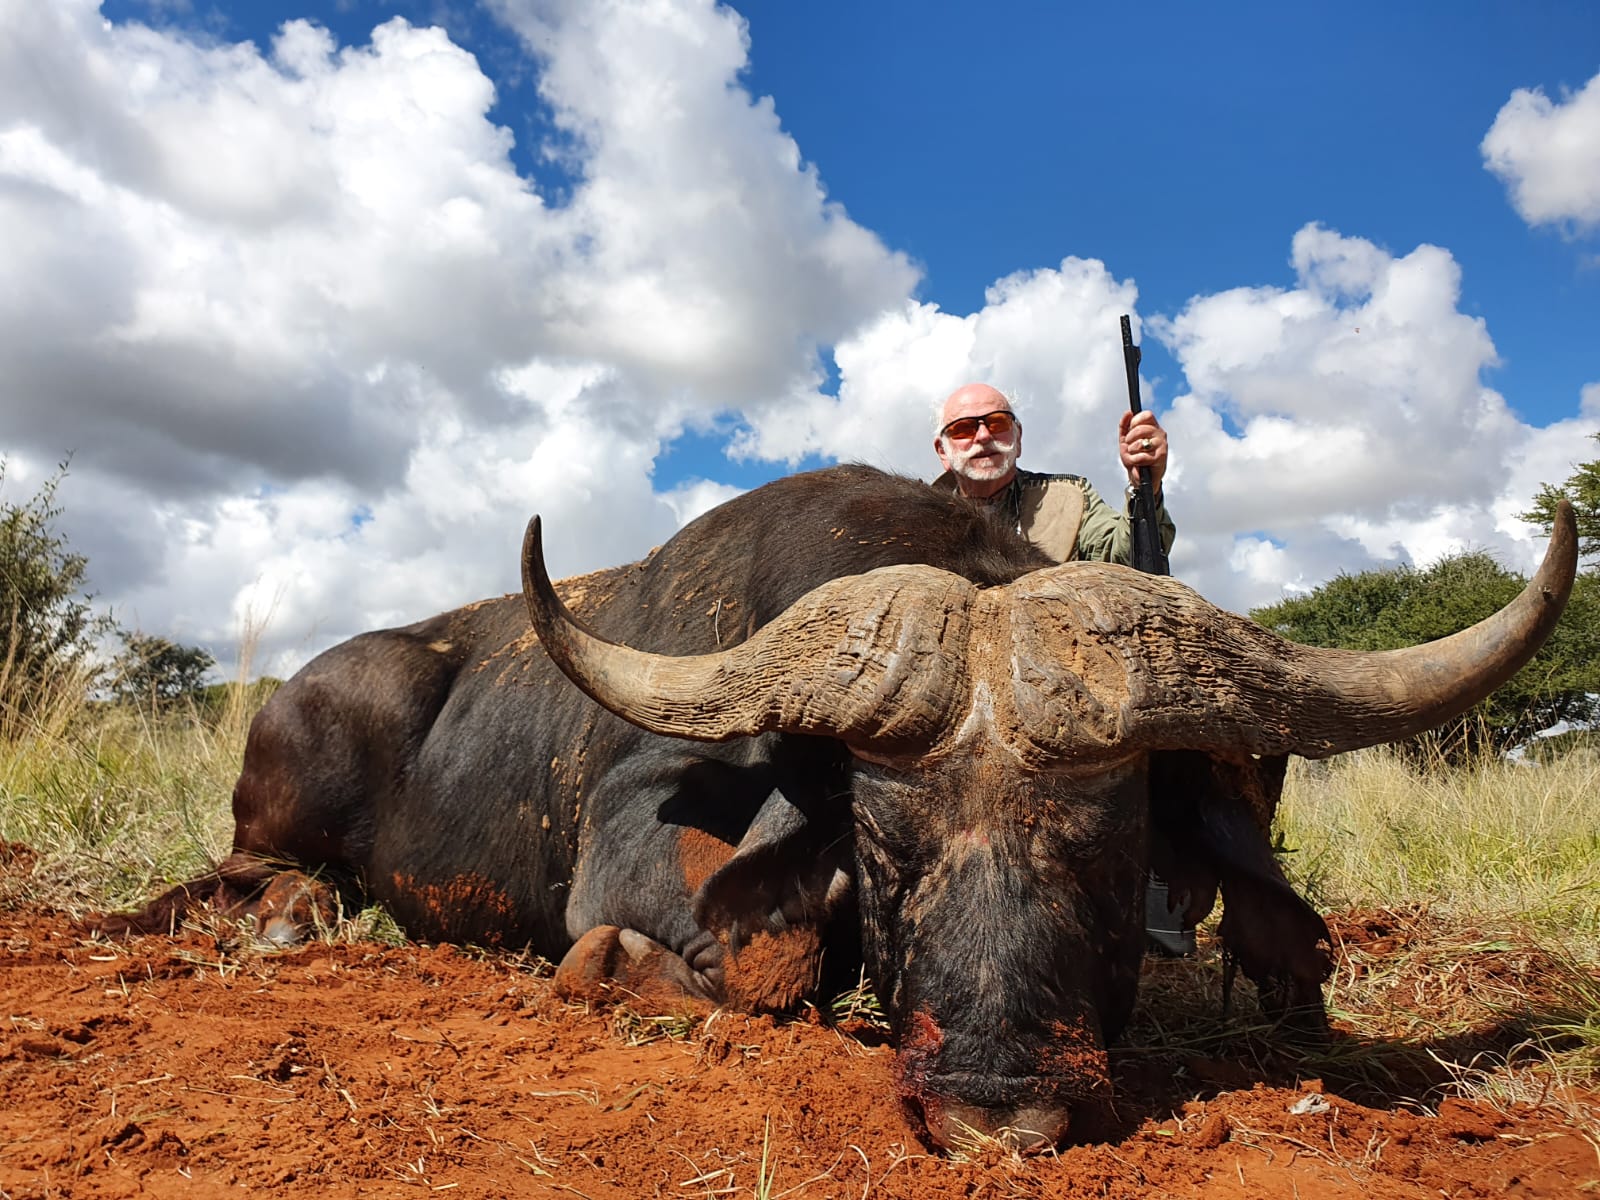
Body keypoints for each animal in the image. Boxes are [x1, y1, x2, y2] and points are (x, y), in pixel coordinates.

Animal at [102, 465, 1576, 1152]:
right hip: (291, 793)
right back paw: (283, 920)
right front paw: (622, 971)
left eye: (1112, 854)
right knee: (246, 873)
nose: (997, 1108)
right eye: (882, 845)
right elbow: (756, 956)